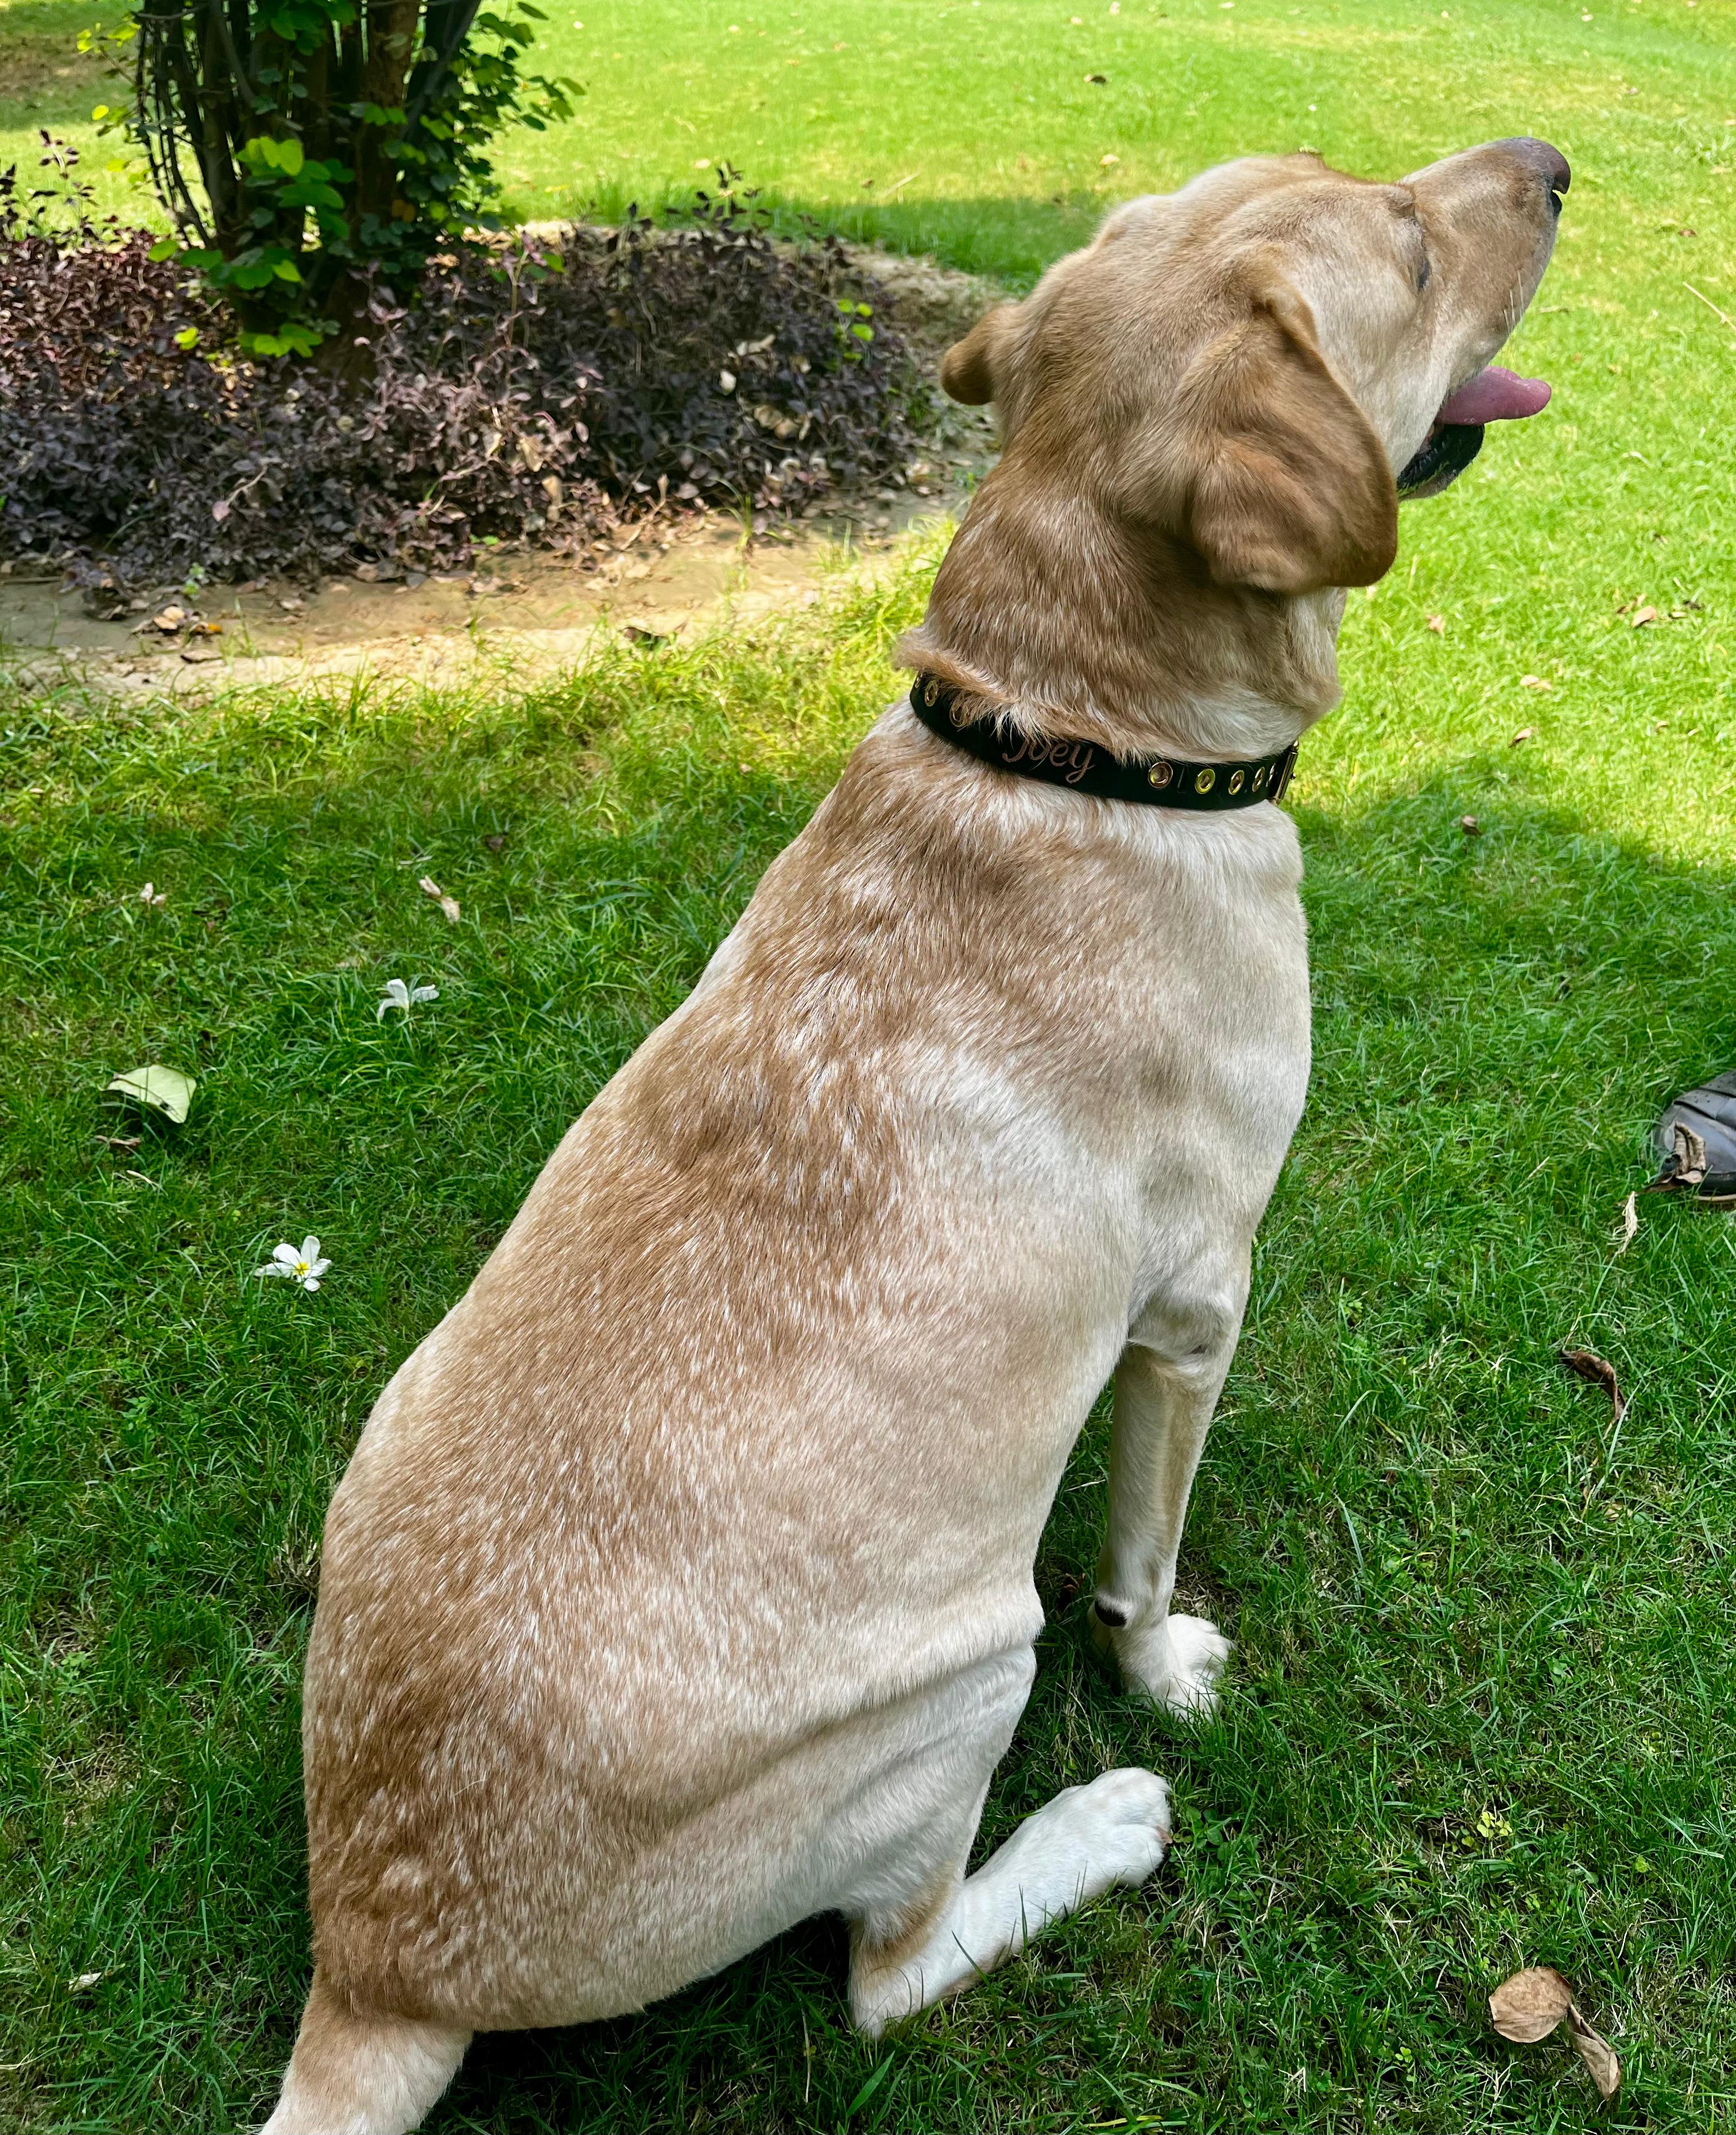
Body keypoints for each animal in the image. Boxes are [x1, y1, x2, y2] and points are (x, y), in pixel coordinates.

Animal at [268, 137, 1554, 2135]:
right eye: (1414, 252)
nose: (1558, 166)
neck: (1069, 732)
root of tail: (380, 1965)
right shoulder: (1198, 1304)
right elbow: (1140, 1559)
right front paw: (1167, 1669)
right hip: (962, 1678)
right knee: (891, 1974)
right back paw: (1096, 1823)